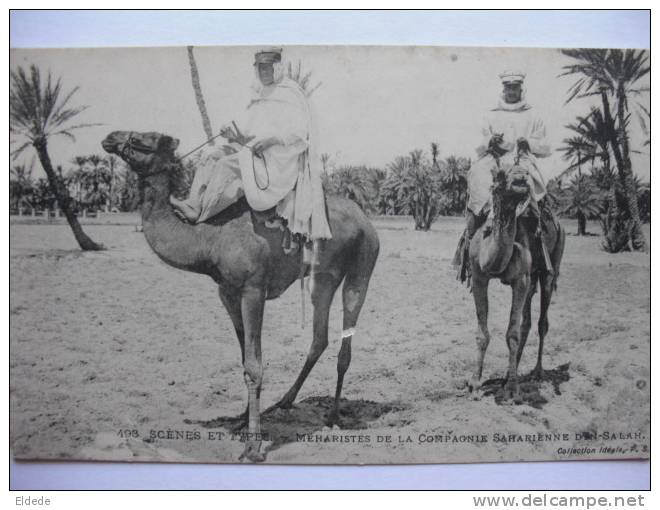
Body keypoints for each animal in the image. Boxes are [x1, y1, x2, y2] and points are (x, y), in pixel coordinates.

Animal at [100, 131, 378, 462]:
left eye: (149, 138)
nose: (110, 137)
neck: (208, 240)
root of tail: (365, 219)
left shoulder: (253, 289)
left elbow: (255, 365)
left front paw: (253, 446)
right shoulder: (227, 292)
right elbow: (245, 358)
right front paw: (243, 419)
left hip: (363, 264)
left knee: (346, 334)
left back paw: (334, 416)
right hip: (324, 277)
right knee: (319, 337)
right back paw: (284, 402)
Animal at [466, 151, 564, 402]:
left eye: (524, 172)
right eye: (499, 176)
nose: (521, 177)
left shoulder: (520, 280)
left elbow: (512, 333)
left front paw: (512, 389)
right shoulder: (479, 277)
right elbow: (482, 333)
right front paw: (475, 384)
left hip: (551, 266)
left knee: (541, 322)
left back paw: (535, 372)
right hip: (531, 279)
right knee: (526, 322)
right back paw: (510, 373)